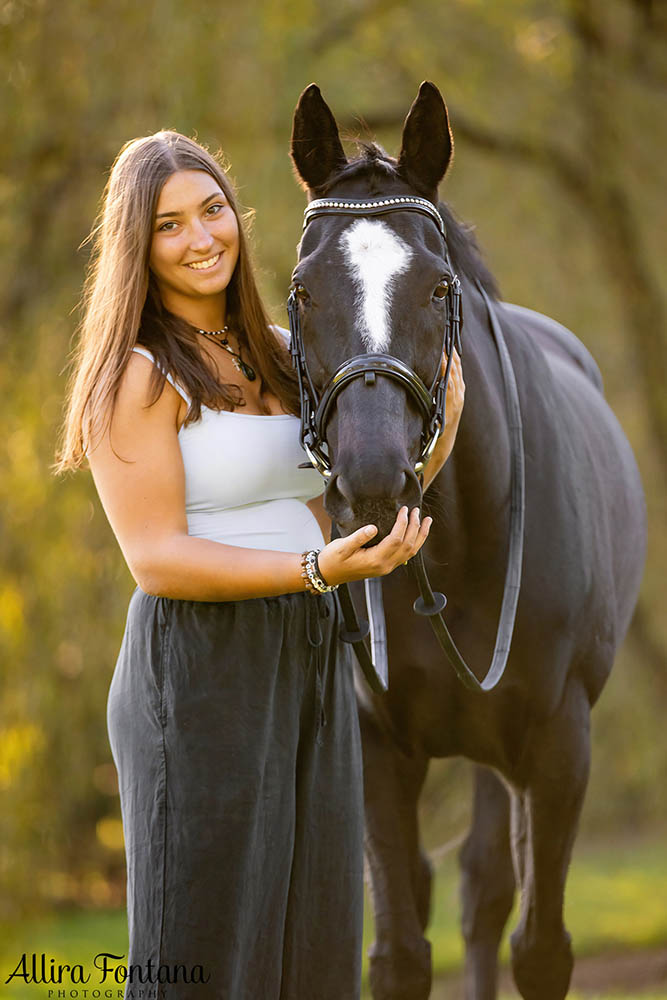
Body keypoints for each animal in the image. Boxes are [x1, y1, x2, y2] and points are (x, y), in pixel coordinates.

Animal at [288, 84, 648, 1000]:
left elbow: (540, 949)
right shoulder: (377, 748)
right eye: (302, 290)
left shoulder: (557, 749)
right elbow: (397, 954)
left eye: (435, 285)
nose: (371, 476)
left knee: (486, 890)